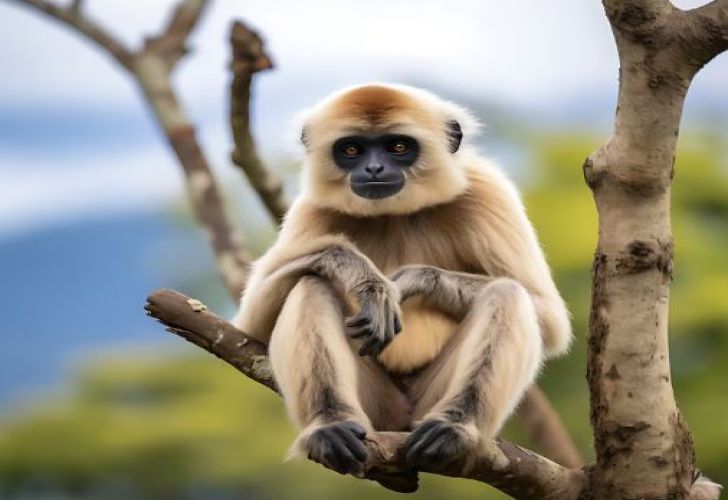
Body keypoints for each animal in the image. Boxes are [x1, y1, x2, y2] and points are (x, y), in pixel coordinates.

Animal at [232, 83, 573, 477]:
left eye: (398, 147)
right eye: (352, 149)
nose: (374, 167)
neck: (394, 214)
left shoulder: (486, 189)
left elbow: (549, 318)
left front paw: (407, 281)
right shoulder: (313, 208)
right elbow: (251, 326)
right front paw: (366, 280)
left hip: (425, 400)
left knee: (507, 292)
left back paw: (454, 429)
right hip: (378, 406)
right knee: (310, 283)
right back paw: (330, 427)